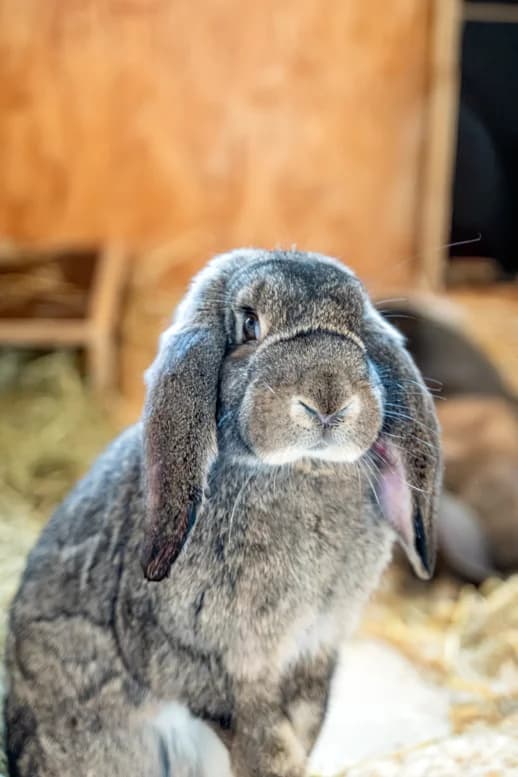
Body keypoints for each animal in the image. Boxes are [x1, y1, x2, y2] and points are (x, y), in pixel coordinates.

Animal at [4, 249, 441, 777]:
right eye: (249, 325)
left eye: (357, 326)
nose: (328, 400)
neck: (299, 469)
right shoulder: (217, 665)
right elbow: (264, 740)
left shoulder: (313, 652)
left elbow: (300, 728)